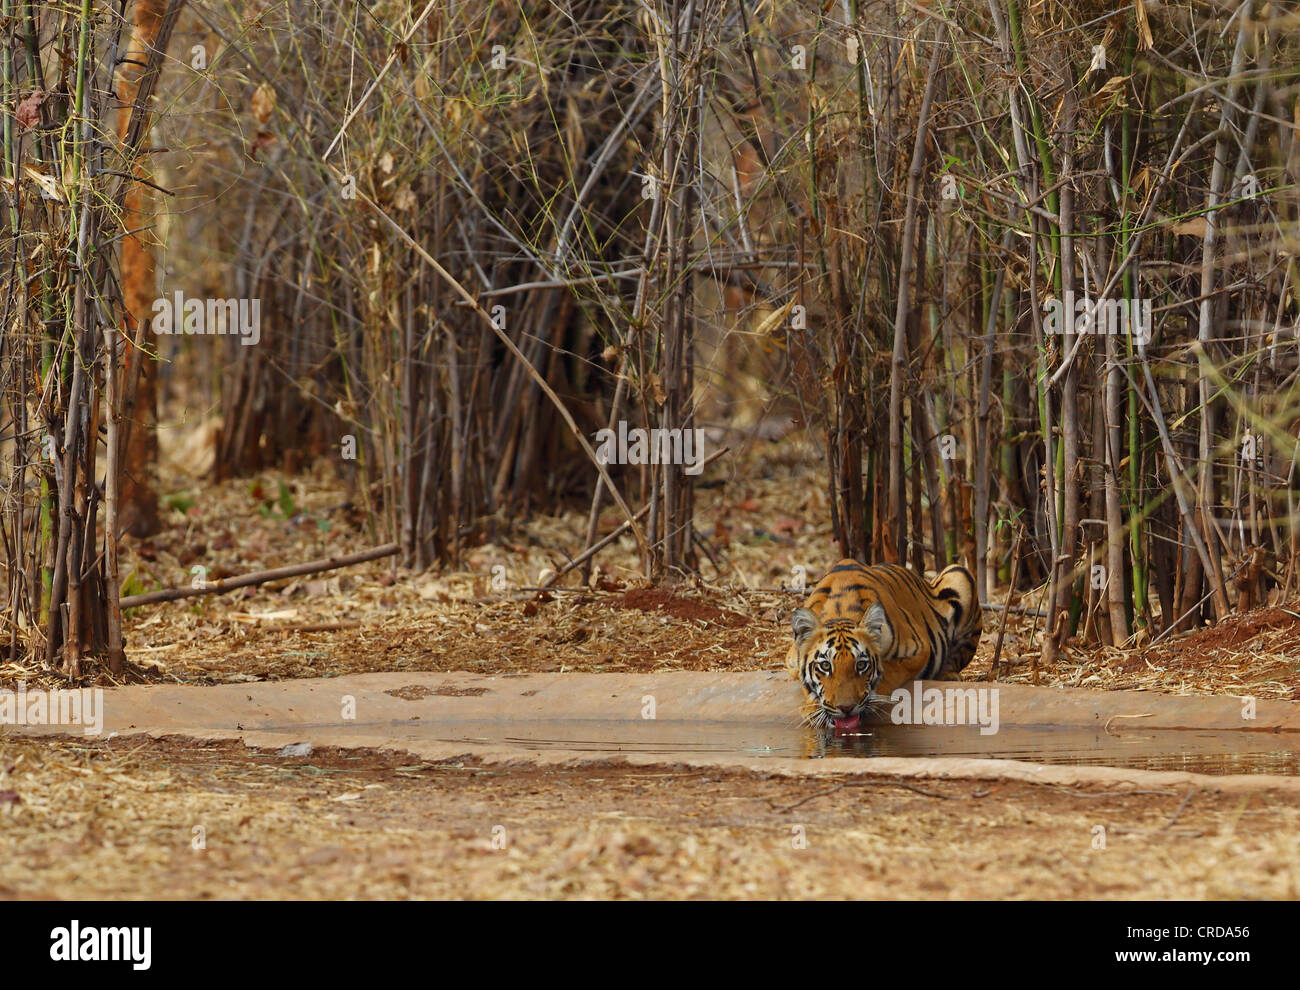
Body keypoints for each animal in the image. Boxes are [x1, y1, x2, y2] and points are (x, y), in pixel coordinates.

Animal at [780, 558, 982, 727]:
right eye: (825, 666)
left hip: (959, 573)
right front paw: (812, 708)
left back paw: (948, 675)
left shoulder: (919, 649)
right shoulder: (791, 662)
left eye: (861, 665)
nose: (846, 709)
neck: (840, 612)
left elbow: (891, 671)